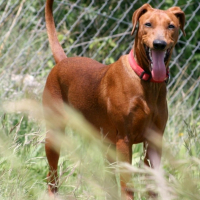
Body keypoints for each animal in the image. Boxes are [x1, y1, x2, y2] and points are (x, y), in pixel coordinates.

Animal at [43, 0, 185, 199]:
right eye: (148, 24)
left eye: (171, 26)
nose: (159, 44)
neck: (146, 81)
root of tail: (63, 61)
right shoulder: (124, 141)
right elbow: (127, 185)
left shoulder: (154, 142)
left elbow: (153, 184)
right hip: (54, 136)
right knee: (52, 176)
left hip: (107, 145)